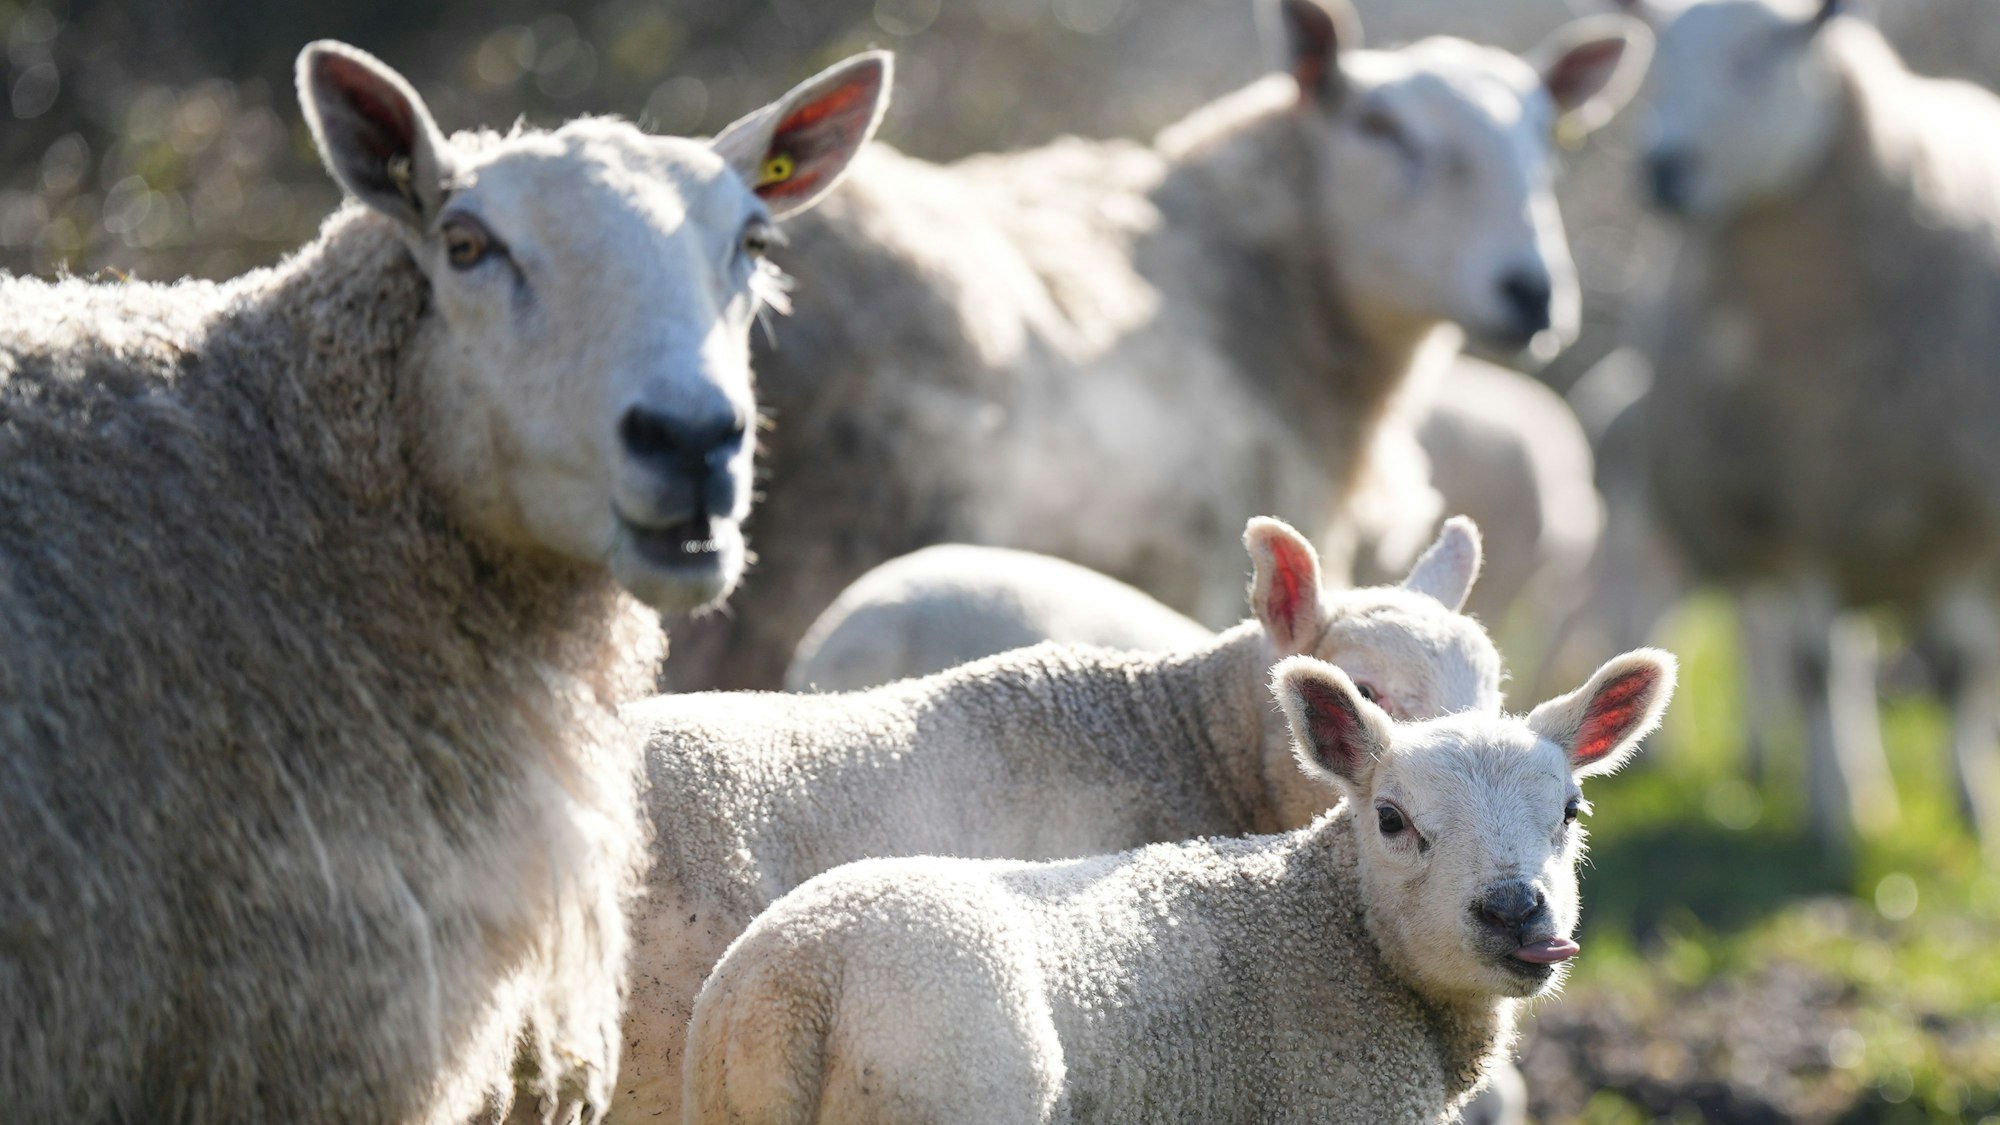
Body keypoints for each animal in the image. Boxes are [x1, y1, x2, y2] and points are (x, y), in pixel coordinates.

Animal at [684, 648, 1678, 1124]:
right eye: (1392, 819)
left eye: (1572, 809)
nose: (1515, 910)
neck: (1334, 930)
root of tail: (797, 984)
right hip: (945, 1083)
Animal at [1610, 0, 2000, 853]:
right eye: (1660, 64)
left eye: (1765, 56)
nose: (1662, 168)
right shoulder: (1790, 509)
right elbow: (1814, 667)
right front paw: (1836, 818)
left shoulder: (1957, 512)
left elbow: (1959, 667)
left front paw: (1971, 811)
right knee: (1786, 650)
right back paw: (1800, 773)